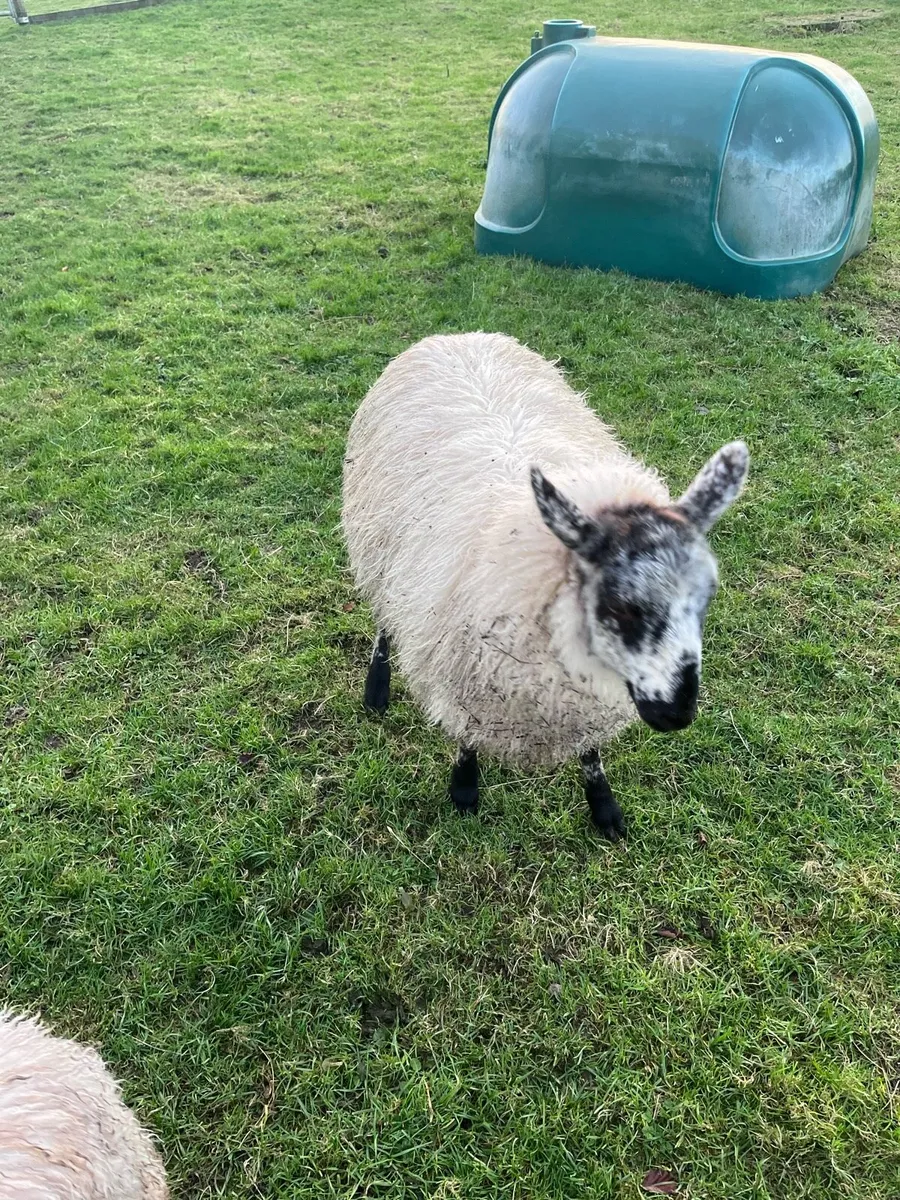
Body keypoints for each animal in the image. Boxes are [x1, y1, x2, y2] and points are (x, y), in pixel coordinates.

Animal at [342, 332, 748, 840]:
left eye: (703, 599)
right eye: (617, 604)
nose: (678, 713)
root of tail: (458, 335)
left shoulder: (578, 701)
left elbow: (590, 753)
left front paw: (604, 807)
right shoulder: (467, 670)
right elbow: (468, 734)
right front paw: (464, 789)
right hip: (380, 546)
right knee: (384, 615)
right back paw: (376, 689)